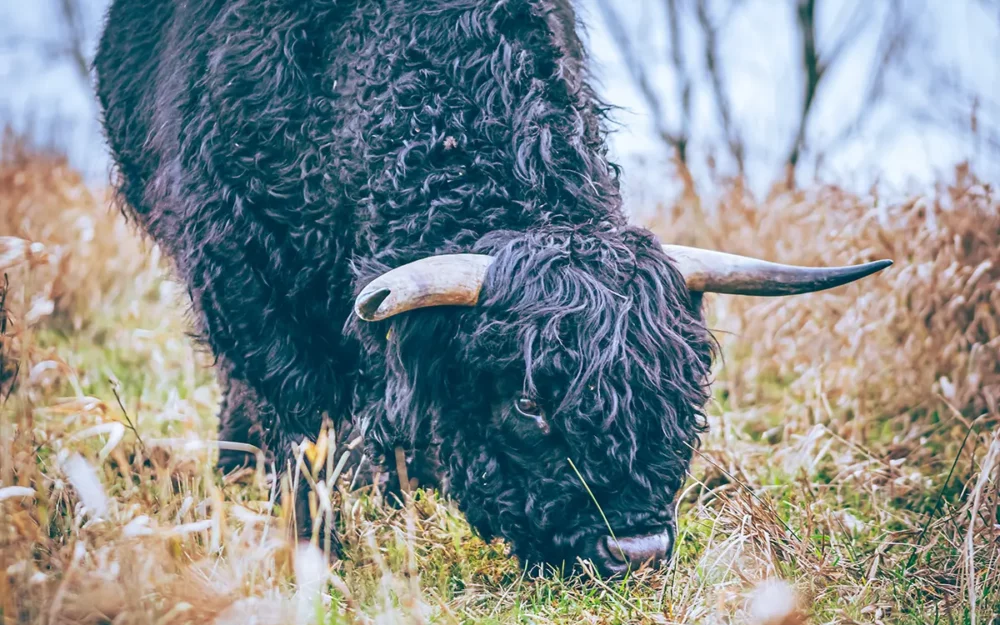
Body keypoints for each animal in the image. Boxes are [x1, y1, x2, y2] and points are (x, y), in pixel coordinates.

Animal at [94, 0, 892, 576]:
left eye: (685, 392)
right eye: (529, 402)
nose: (635, 552)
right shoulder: (242, 270)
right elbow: (298, 424)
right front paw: (314, 551)